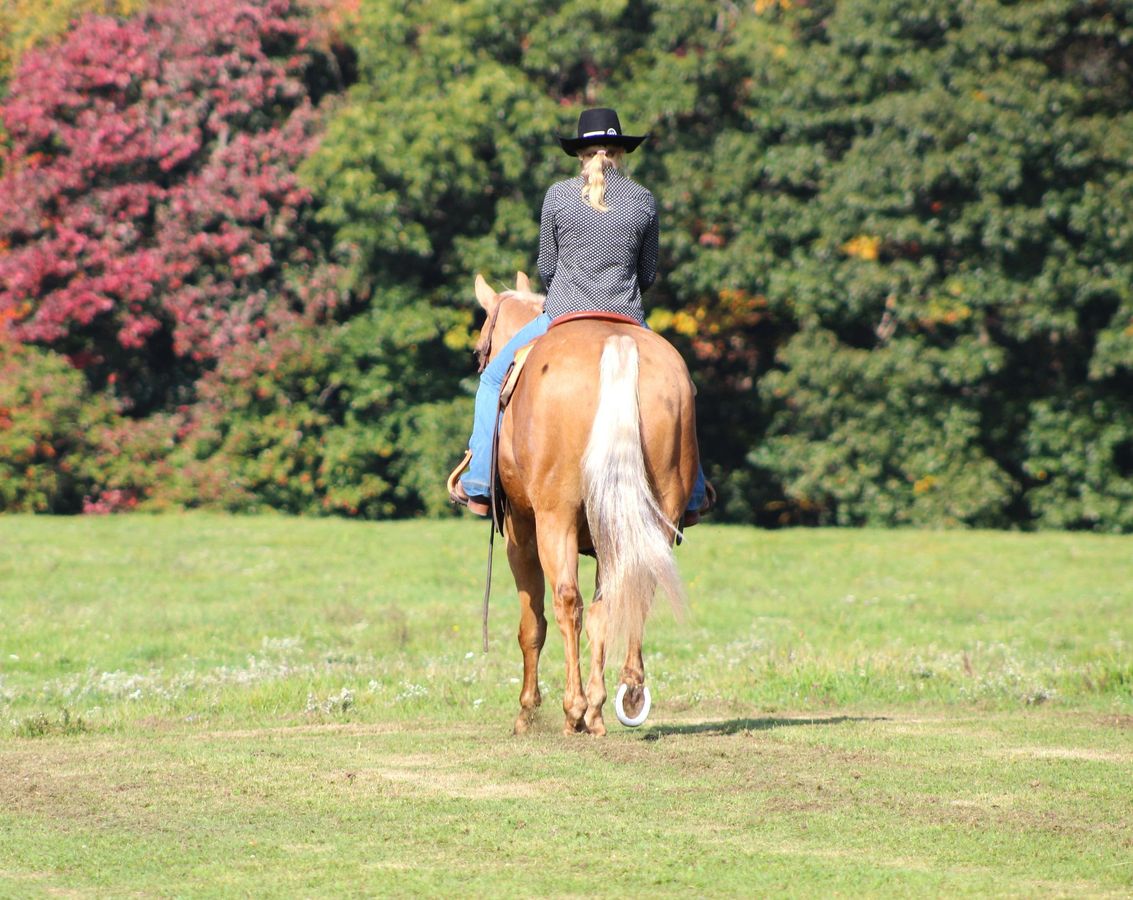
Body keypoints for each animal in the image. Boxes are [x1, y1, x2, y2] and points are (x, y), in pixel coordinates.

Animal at [472, 272, 700, 736]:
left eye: (478, 351)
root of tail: (616, 343)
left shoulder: (521, 535)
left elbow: (532, 624)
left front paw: (528, 710)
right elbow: (602, 613)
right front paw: (596, 709)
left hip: (554, 518)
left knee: (566, 602)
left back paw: (573, 707)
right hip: (653, 516)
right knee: (626, 595)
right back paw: (620, 696)